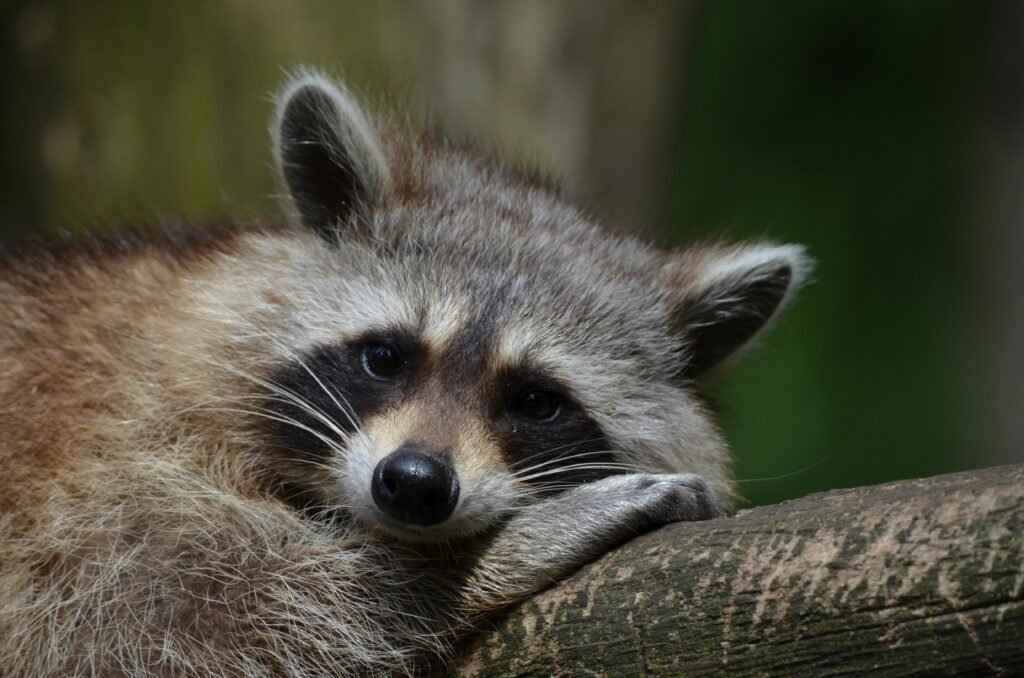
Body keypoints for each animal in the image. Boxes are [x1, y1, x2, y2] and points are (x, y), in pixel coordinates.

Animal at [0, 71, 806, 675]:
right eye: (385, 357)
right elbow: (185, 618)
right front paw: (488, 558)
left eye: (537, 401)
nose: (414, 483)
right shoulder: (103, 469)